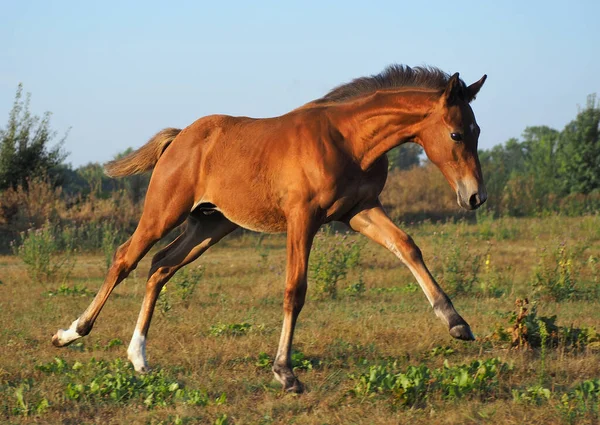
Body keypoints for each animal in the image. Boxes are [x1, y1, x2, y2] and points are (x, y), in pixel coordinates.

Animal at [54, 64, 488, 392]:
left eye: (478, 130)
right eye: (455, 133)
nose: (475, 197)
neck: (347, 140)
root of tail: (180, 139)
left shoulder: (359, 210)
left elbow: (407, 246)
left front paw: (457, 323)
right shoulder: (303, 217)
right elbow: (295, 290)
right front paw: (285, 372)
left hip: (211, 225)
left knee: (161, 265)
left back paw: (139, 357)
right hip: (164, 211)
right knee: (125, 258)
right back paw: (71, 332)